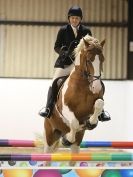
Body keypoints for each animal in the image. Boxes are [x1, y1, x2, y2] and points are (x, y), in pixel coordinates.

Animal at [44, 34, 105, 165]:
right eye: (89, 60)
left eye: (102, 60)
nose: (97, 87)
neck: (83, 85)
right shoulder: (65, 108)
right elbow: (74, 122)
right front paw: (67, 139)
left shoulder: (94, 105)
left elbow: (99, 103)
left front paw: (91, 123)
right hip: (50, 134)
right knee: (47, 156)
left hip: (77, 142)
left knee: (73, 158)